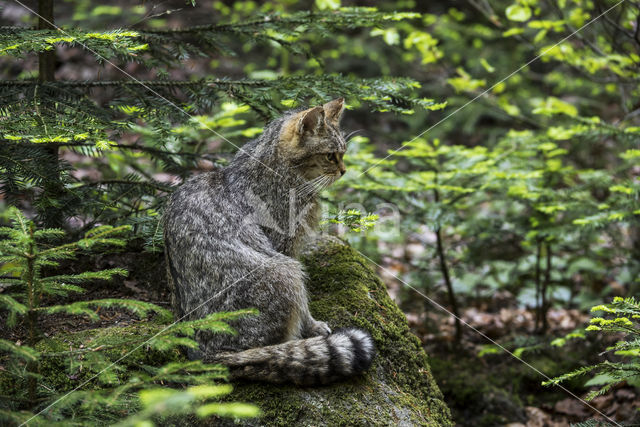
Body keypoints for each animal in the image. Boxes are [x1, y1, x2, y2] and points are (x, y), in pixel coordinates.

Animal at [162, 98, 376, 386]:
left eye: (342, 154)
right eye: (331, 155)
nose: (344, 171)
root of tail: (206, 354)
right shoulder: (285, 248)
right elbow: (304, 304)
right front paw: (312, 326)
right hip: (283, 271)